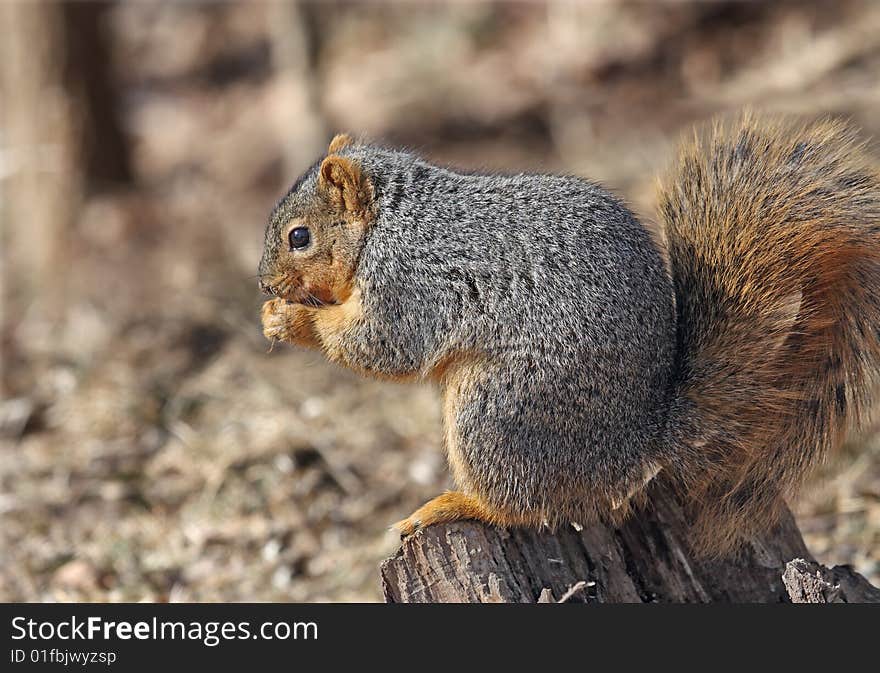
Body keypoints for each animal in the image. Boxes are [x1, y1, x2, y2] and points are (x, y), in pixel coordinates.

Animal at [258, 114, 880, 552]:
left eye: (298, 236)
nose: (264, 282)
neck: (389, 220)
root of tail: (639, 441)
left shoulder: (409, 281)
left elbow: (384, 346)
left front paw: (290, 319)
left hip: (497, 412)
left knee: (525, 505)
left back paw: (453, 505)